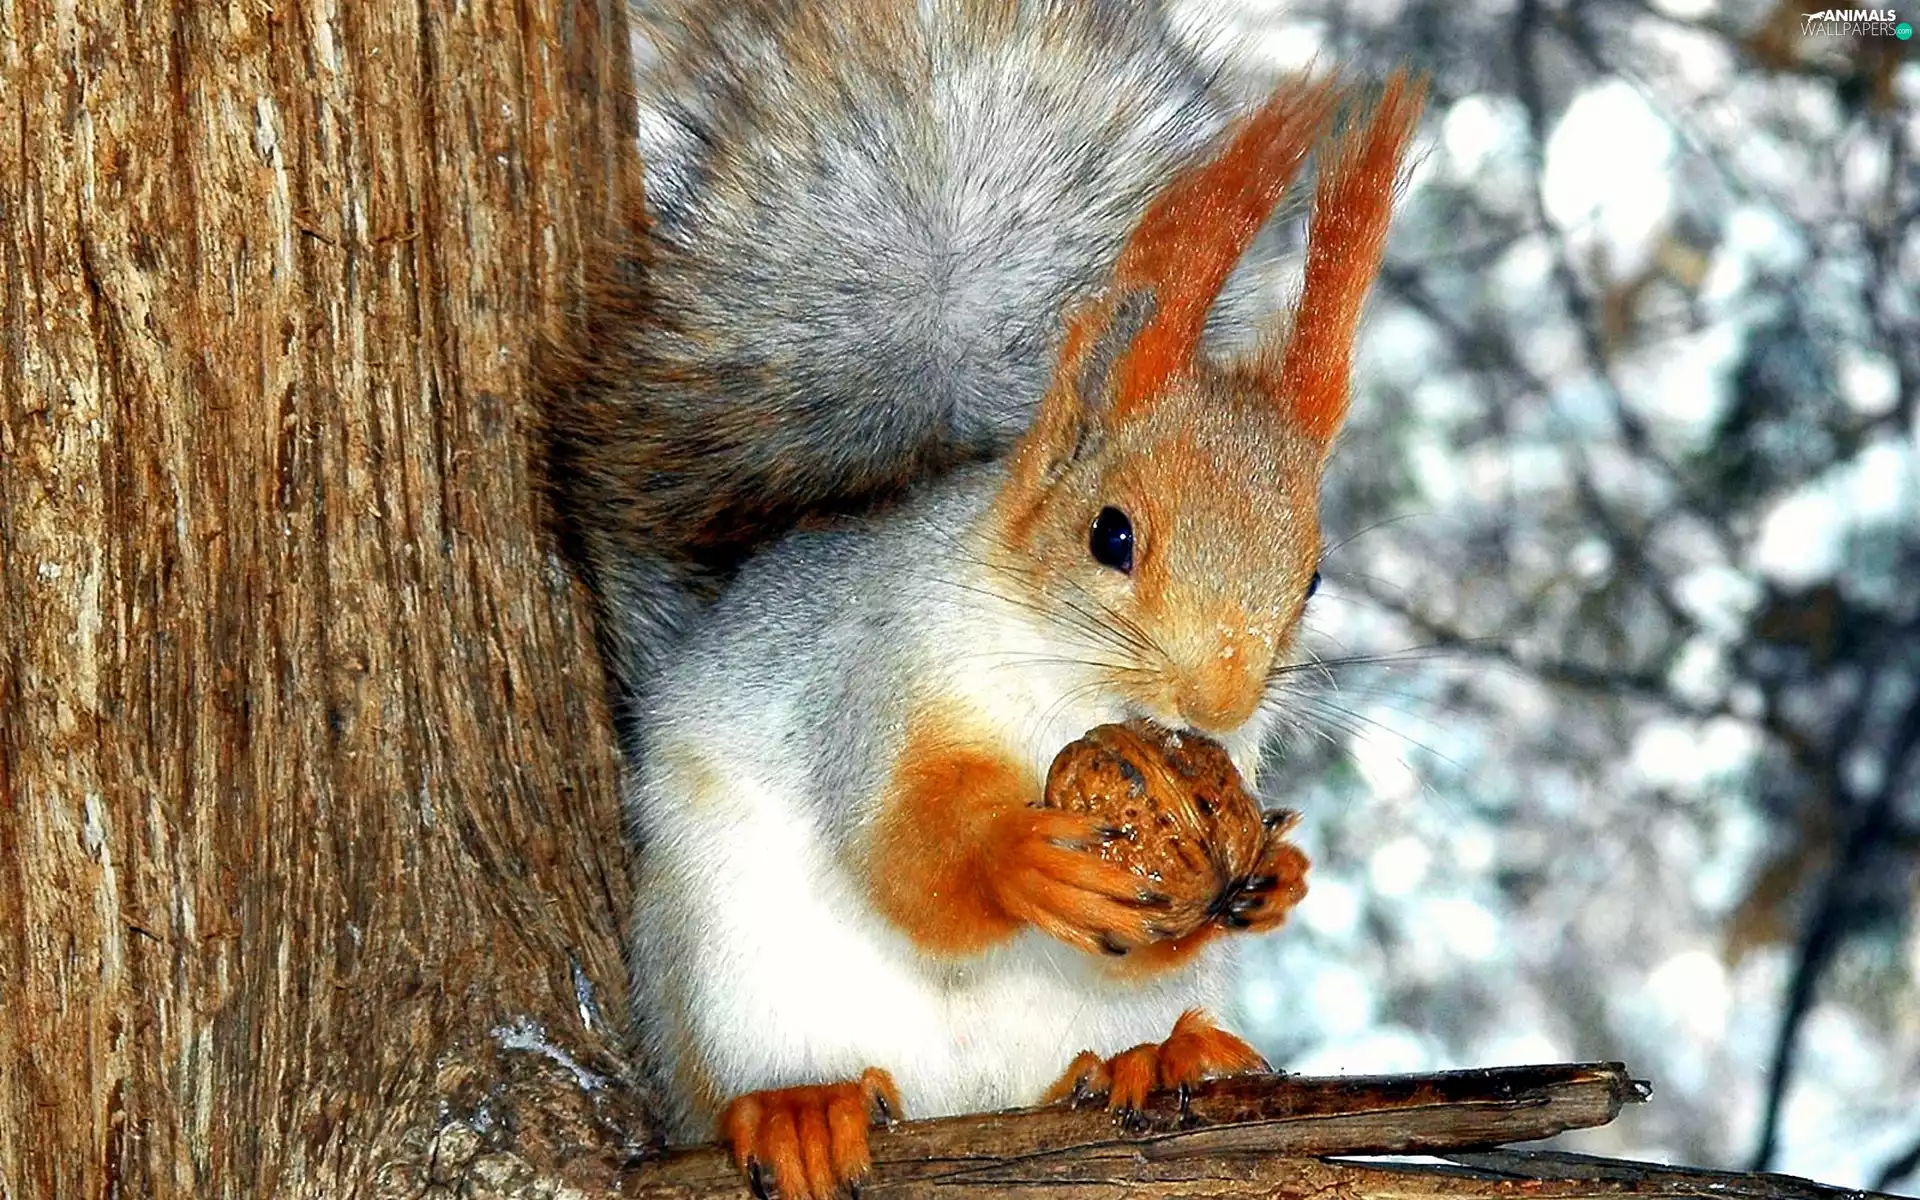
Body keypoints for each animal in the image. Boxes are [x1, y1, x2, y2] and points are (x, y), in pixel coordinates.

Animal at [542, 2, 1423, 1197]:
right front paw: (1021, 858)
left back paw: (1159, 1055)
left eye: (1314, 574)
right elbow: (902, 852)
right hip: (730, 974)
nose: (1222, 701)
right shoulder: (876, 676)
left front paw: (1276, 874)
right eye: (1111, 534)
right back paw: (799, 1108)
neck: (1058, 679)